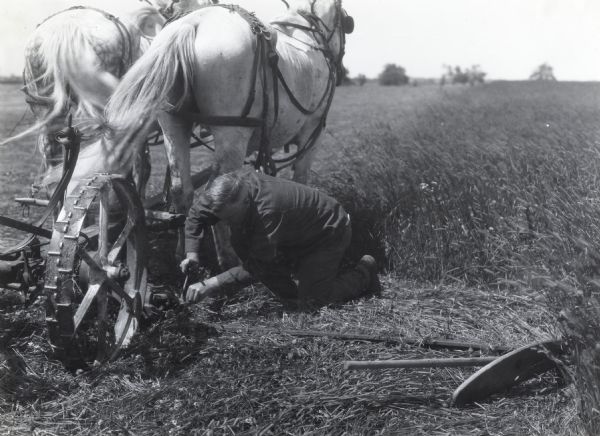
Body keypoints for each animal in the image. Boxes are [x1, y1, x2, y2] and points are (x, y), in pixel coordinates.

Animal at [61, 0, 352, 268]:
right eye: (345, 20)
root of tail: (192, 24)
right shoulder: (312, 133)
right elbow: (301, 179)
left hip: (173, 123)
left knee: (181, 189)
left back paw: (184, 251)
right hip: (231, 131)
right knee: (217, 190)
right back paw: (228, 259)